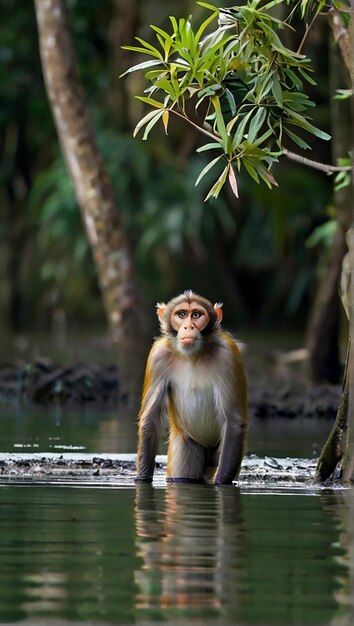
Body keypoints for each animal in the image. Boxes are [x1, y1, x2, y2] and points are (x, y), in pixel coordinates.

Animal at [136, 290, 249, 486]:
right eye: (181, 315)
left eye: (196, 315)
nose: (188, 327)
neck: (193, 355)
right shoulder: (158, 355)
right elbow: (150, 418)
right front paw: (142, 480)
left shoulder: (227, 354)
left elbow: (234, 421)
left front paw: (221, 483)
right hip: (186, 442)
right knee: (183, 476)